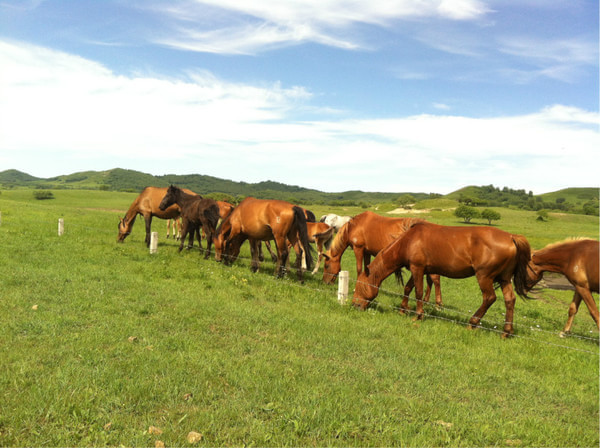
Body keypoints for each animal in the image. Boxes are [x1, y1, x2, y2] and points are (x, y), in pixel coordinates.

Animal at [352, 222, 528, 338]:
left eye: (359, 286)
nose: (354, 305)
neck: (408, 241)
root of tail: (511, 237)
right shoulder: (419, 270)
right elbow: (408, 288)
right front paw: (403, 309)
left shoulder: (417, 268)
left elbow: (418, 292)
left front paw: (418, 315)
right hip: (504, 279)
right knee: (510, 300)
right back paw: (506, 332)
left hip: (484, 277)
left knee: (489, 298)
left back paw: (472, 323)